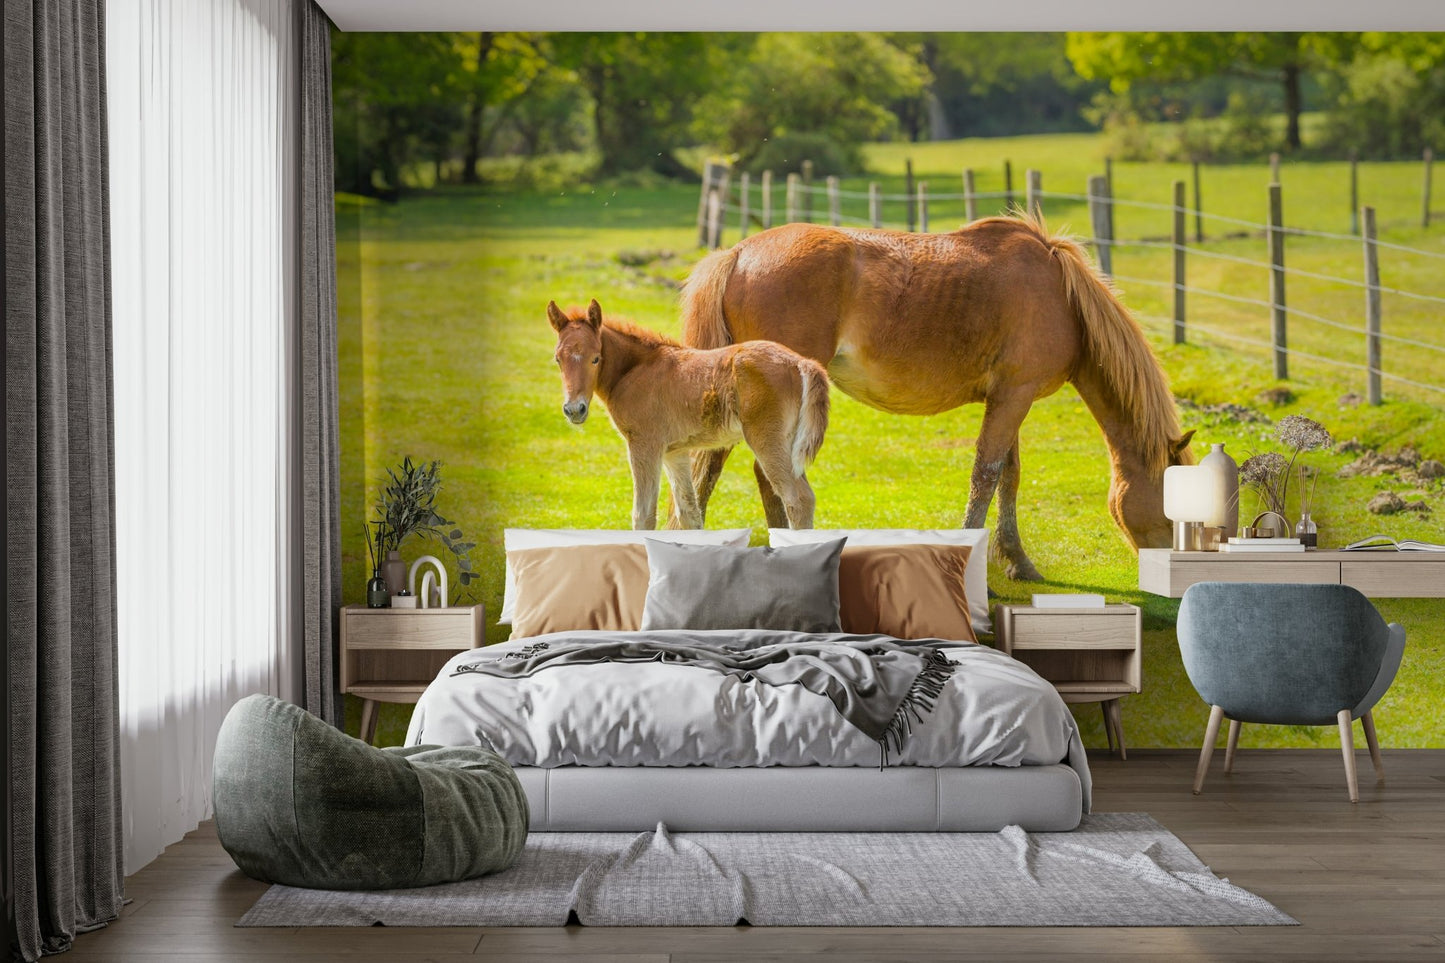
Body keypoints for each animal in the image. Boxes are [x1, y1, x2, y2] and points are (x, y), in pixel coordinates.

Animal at [546, 299, 830, 530]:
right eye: (558, 359)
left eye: (595, 358)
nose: (574, 409)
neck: (636, 369)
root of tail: (802, 363)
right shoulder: (675, 452)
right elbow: (689, 513)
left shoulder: (644, 445)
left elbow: (643, 515)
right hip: (789, 445)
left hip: (767, 441)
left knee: (798, 500)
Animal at [679, 212, 1195, 580]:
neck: (1063, 298)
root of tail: (739, 253)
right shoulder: (1014, 396)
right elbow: (986, 473)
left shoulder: (1011, 397)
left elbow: (1008, 476)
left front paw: (1018, 561)